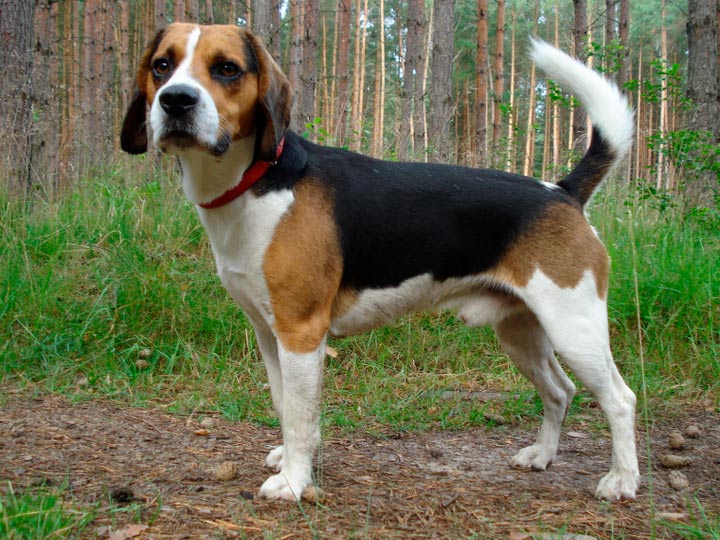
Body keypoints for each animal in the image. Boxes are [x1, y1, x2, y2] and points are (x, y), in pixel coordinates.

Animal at [121, 23, 639, 502]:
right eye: (162, 66)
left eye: (227, 68)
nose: (175, 101)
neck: (257, 181)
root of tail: (562, 191)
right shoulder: (269, 333)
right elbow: (285, 405)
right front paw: (290, 458)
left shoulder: (301, 333)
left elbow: (301, 414)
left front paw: (293, 481)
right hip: (521, 332)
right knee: (560, 391)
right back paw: (543, 456)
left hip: (574, 328)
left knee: (619, 399)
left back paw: (621, 480)